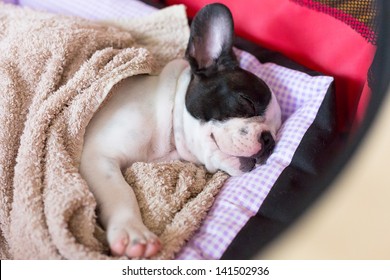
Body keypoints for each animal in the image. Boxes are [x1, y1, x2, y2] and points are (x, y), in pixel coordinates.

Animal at [79, 3, 280, 258]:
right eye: (247, 102)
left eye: (277, 130)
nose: (269, 141)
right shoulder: (98, 156)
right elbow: (121, 191)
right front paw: (134, 232)